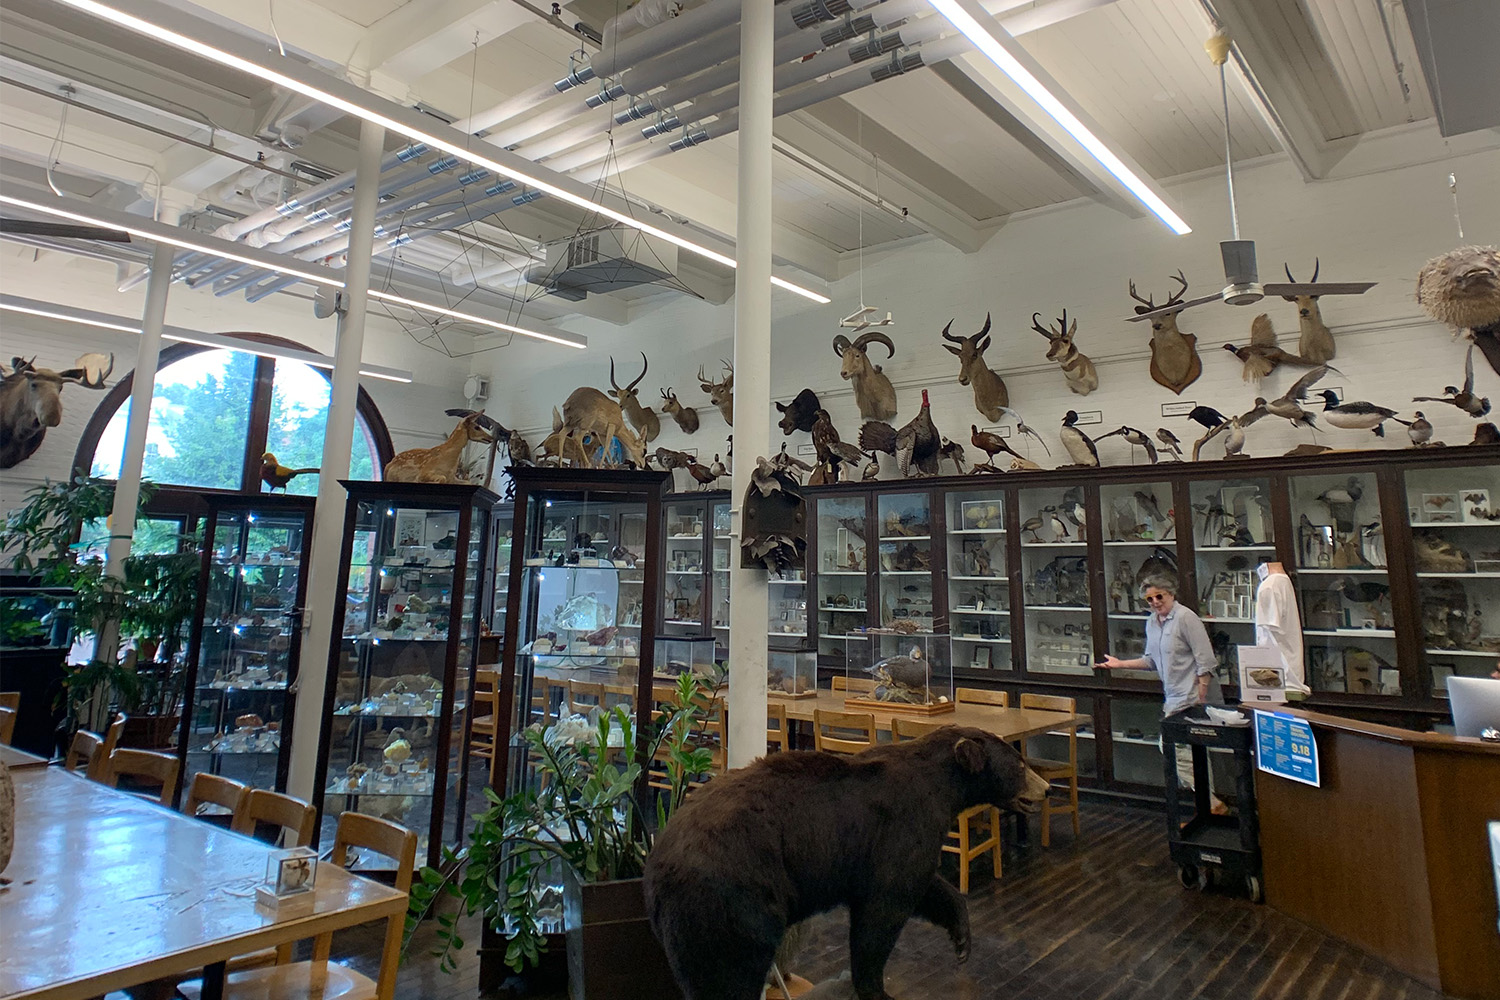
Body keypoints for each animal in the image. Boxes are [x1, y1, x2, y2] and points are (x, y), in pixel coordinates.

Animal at [648, 728, 1056, 1000]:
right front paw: (875, 988)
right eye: (1020, 765)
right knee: (729, 974)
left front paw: (961, 939)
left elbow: (926, 885)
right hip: (734, 899)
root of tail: (658, 870)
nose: (1047, 788)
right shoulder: (901, 823)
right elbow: (883, 911)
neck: (943, 787)